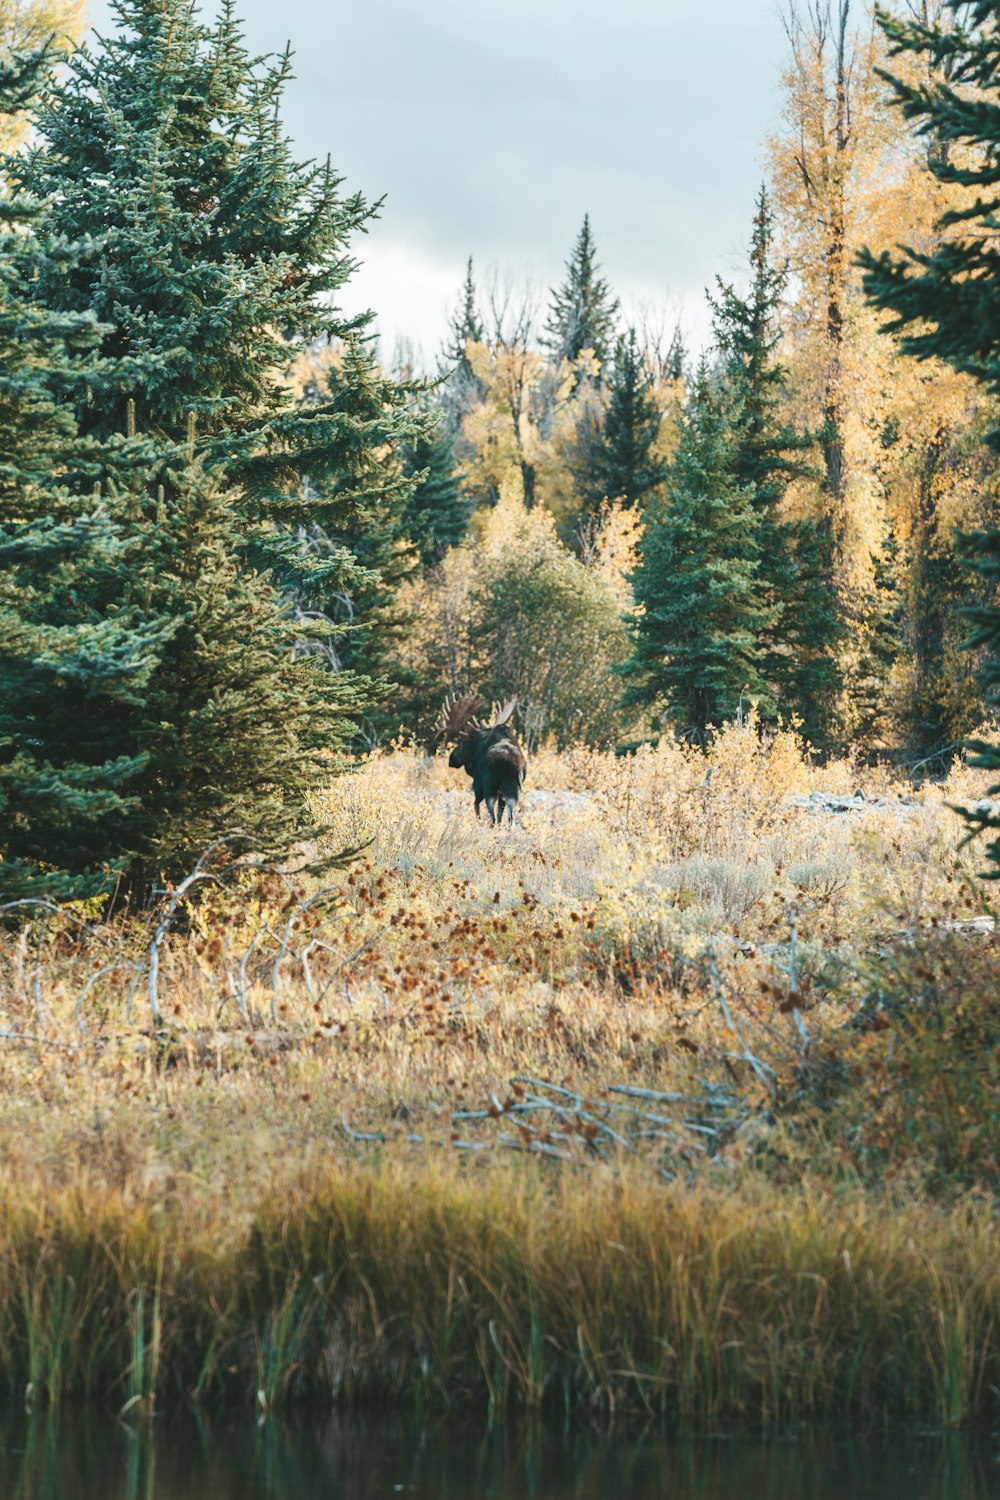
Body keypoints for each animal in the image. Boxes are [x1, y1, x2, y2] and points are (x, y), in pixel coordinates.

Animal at [440, 687, 527, 822]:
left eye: (464, 741)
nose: (451, 758)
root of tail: (509, 765)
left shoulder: (477, 783)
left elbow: (476, 806)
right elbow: (500, 814)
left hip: (489, 788)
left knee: (492, 815)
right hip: (512, 791)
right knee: (509, 817)